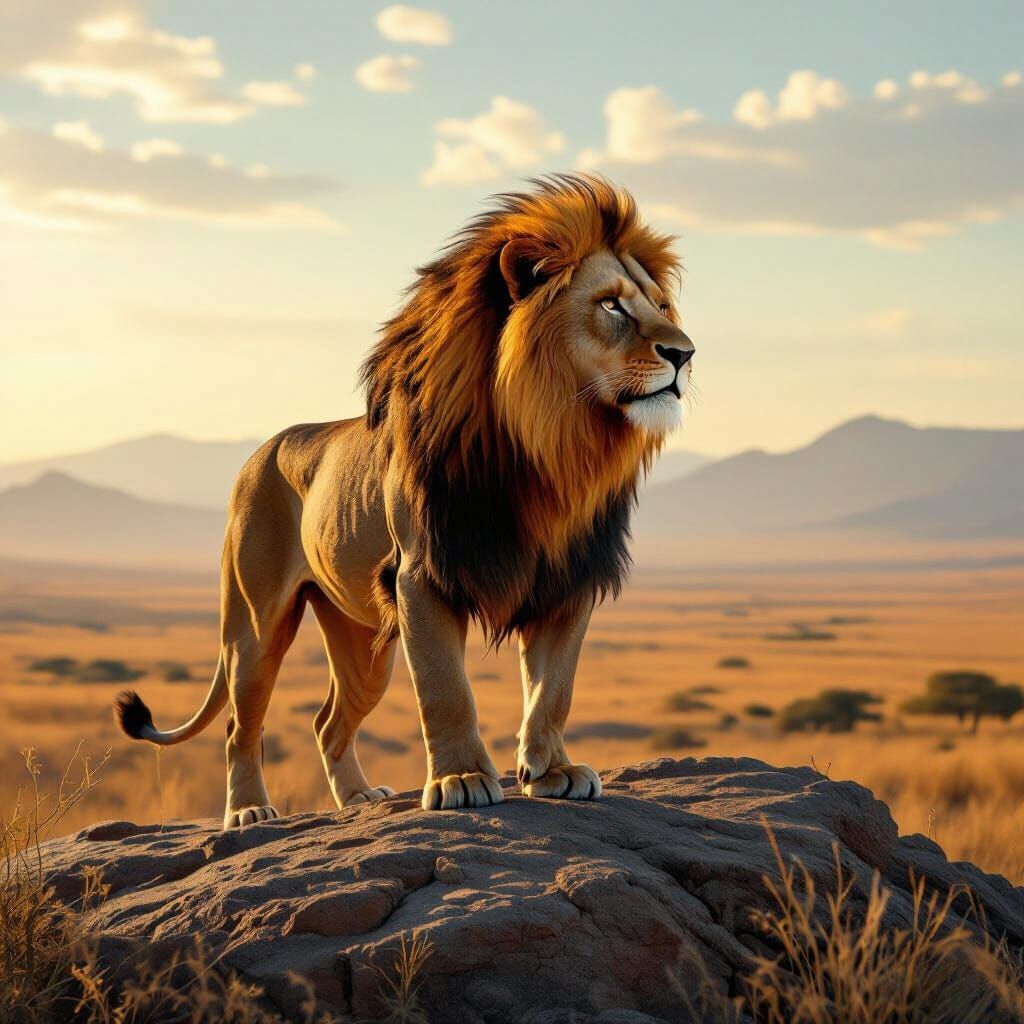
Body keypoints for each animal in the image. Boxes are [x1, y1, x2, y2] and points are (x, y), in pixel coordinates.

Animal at [114, 174, 694, 828]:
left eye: (661, 307)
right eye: (611, 305)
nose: (685, 354)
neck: (549, 449)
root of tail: (260, 451)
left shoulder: (568, 580)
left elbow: (555, 690)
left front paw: (552, 772)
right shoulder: (423, 576)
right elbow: (446, 689)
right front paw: (461, 778)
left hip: (361, 642)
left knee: (327, 722)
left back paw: (358, 798)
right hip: (255, 626)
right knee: (242, 724)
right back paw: (249, 812)